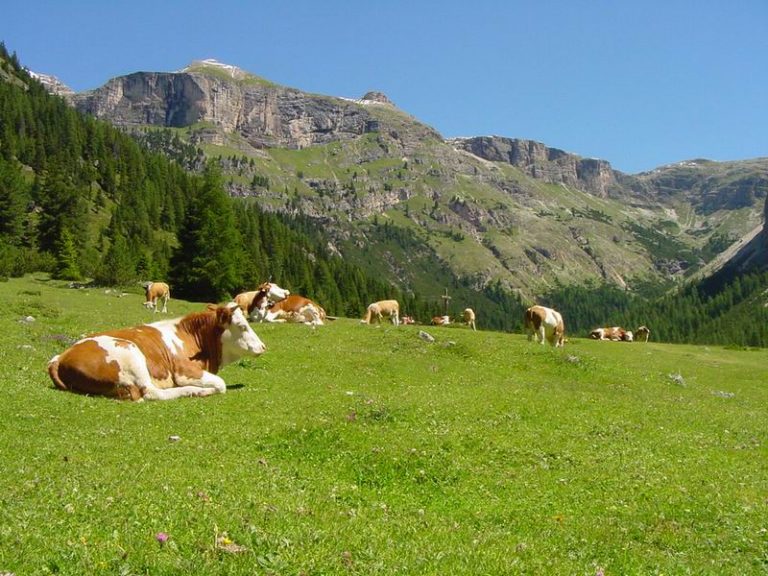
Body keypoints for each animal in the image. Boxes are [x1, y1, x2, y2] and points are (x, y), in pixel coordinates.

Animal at [48, 304, 266, 402]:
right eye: (242, 326)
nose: (263, 346)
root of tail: (61, 356)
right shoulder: (183, 370)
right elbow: (221, 384)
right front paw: (201, 388)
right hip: (131, 352)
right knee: (152, 393)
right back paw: (195, 391)